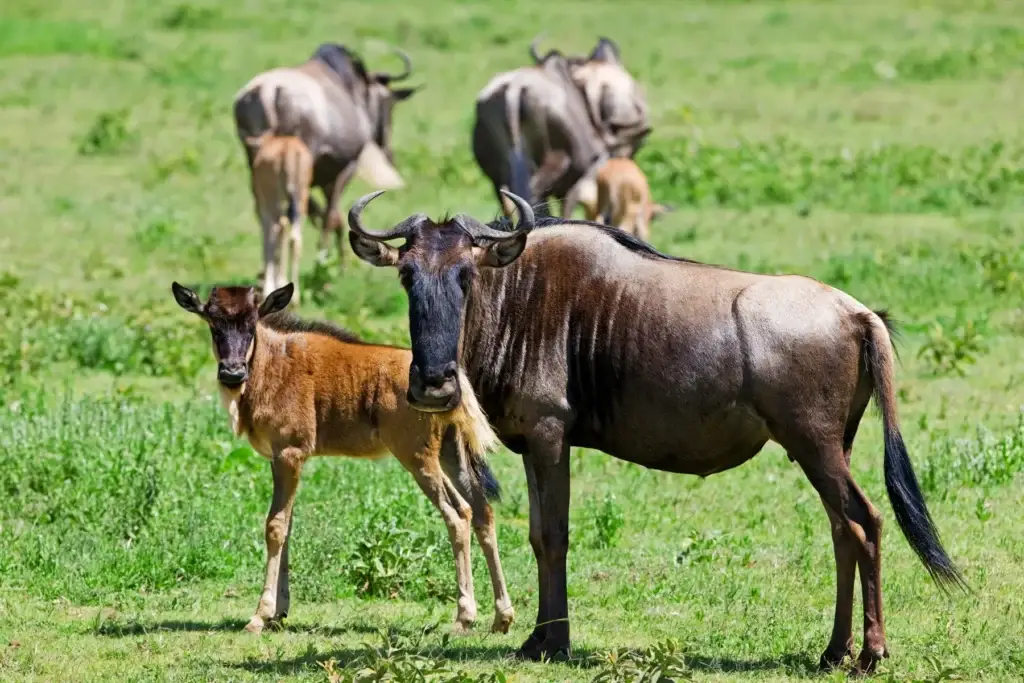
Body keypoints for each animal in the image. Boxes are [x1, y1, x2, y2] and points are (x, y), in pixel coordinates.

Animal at [170, 281, 515, 636]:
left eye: (251, 325)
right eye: (214, 326)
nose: (232, 373)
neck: (270, 364)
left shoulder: (289, 454)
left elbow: (275, 526)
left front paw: (260, 615)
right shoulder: (281, 458)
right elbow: (288, 525)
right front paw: (280, 612)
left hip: (419, 458)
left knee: (458, 514)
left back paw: (464, 617)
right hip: (451, 454)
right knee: (483, 512)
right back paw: (502, 616)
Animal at [247, 134, 313, 305]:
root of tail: (289, 149)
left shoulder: (263, 209)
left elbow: (268, 241)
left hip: (274, 203)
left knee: (279, 229)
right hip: (301, 200)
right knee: (295, 239)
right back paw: (295, 297)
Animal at [347, 189, 965, 673]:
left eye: (467, 275)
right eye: (407, 276)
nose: (433, 384)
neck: (517, 292)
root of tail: (857, 312)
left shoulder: (550, 435)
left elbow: (555, 536)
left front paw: (555, 642)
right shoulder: (533, 444)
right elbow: (539, 535)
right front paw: (539, 639)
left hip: (815, 445)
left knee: (865, 523)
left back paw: (870, 654)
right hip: (832, 447)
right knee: (843, 530)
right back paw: (834, 651)